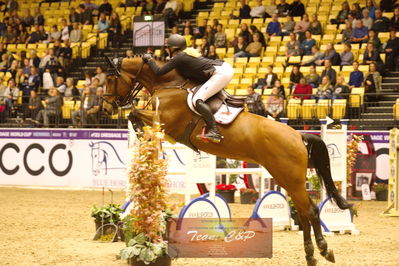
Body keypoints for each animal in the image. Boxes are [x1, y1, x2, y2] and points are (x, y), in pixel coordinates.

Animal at [104, 55, 354, 264]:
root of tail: (297, 135)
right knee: (303, 213)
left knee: (310, 211)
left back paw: (323, 250)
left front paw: (138, 129)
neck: (167, 84)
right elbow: (135, 114)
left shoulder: (166, 122)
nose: (106, 108)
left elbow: (134, 113)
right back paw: (311, 255)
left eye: (109, 79)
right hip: (286, 178)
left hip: (290, 178)